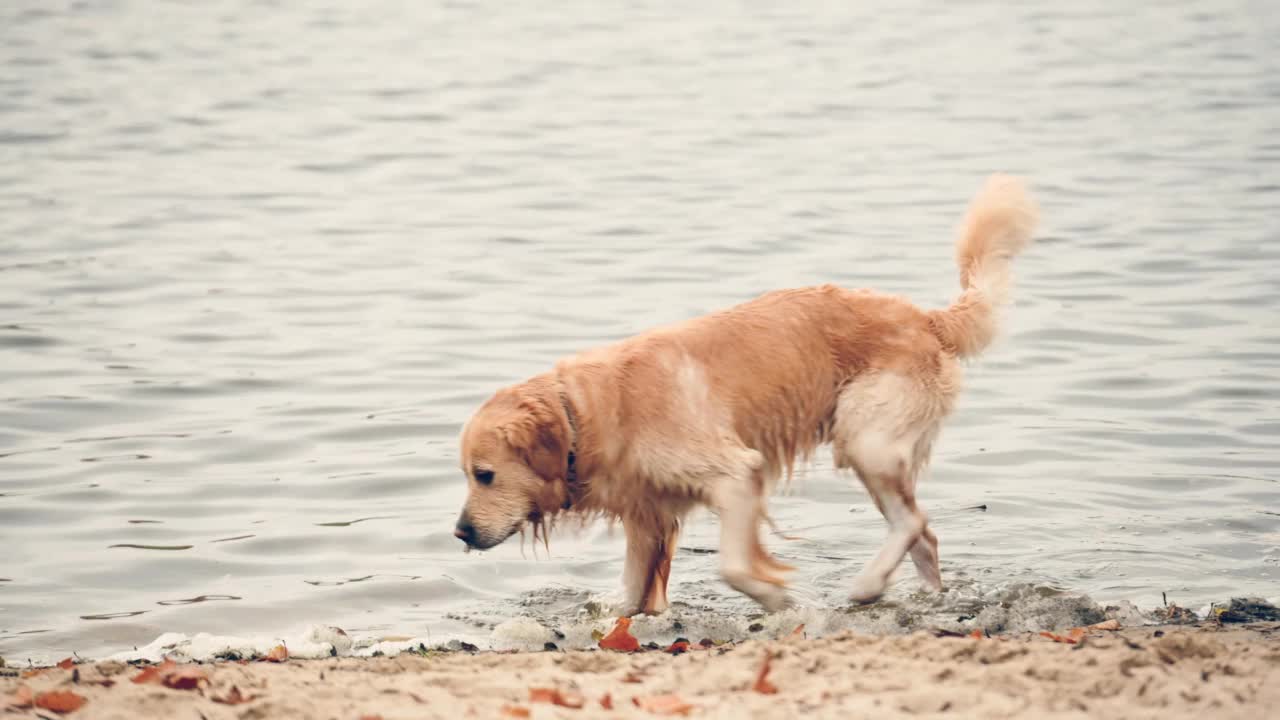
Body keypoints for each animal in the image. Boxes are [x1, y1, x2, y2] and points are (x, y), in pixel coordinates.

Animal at [455, 174, 1034, 609]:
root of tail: (925, 318)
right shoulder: (648, 515)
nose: (460, 533)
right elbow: (633, 595)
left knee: (912, 520)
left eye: (484, 475)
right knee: (924, 533)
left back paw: (867, 586)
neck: (584, 415)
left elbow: (733, 566)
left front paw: (777, 597)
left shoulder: (736, 475)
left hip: (867, 435)